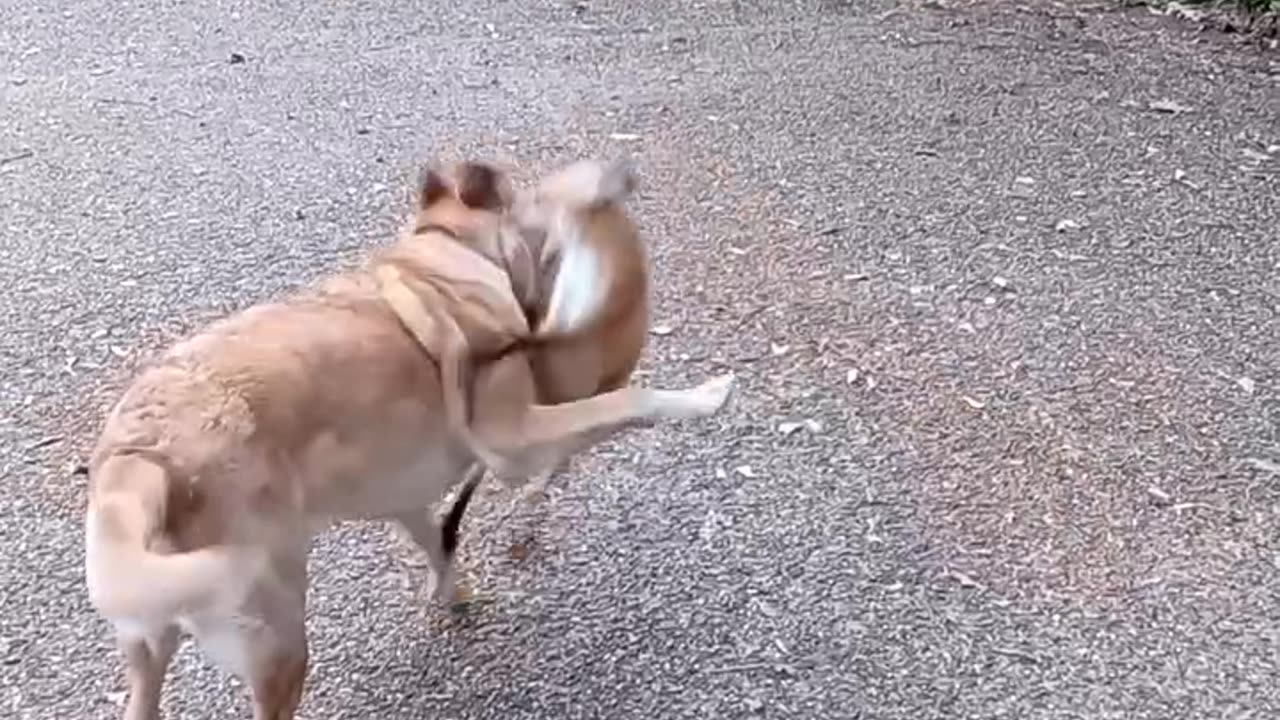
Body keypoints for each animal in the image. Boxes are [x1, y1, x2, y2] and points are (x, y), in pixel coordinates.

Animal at [85, 159, 737, 712]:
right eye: (540, 200)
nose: (617, 179)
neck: (447, 255)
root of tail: (140, 456)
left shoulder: (398, 491)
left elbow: (436, 537)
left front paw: (451, 591)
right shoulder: (513, 441)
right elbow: (629, 401)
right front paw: (704, 397)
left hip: (150, 641)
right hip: (276, 638)